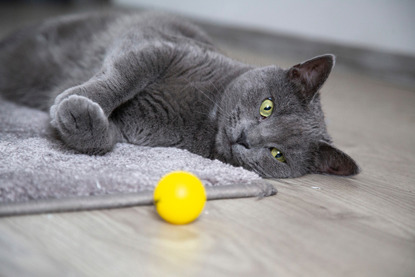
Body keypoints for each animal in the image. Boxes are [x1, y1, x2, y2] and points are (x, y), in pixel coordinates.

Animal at [0, 10, 360, 177]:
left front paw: (79, 118)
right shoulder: (156, 47)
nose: (245, 138)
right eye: (267, 107)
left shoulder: (135, 130)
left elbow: (104, 139)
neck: (205, 111)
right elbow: (121, 78)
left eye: (277, 154)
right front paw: (72, 101)